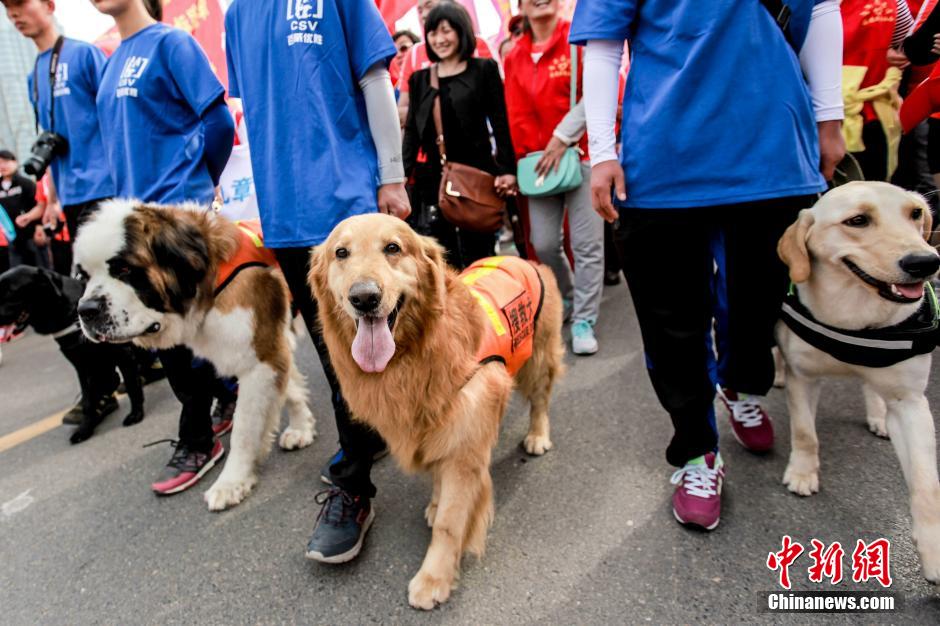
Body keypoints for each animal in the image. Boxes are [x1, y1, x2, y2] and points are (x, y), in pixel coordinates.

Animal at [0, 266, 145, 442]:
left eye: (10, 291)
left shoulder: (123, 354)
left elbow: (131, 385)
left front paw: (136, 413)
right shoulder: (82, 365)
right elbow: (89, 399)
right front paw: (86, 428)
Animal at [73, 202, 316, 510]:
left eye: (125, 269)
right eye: (83, 277)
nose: (86, 310)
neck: (209, 278)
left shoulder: (259, 357)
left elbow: (244, 430)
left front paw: (231, 482)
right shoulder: (272, 347)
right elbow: (289, 388)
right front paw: (301, 427)